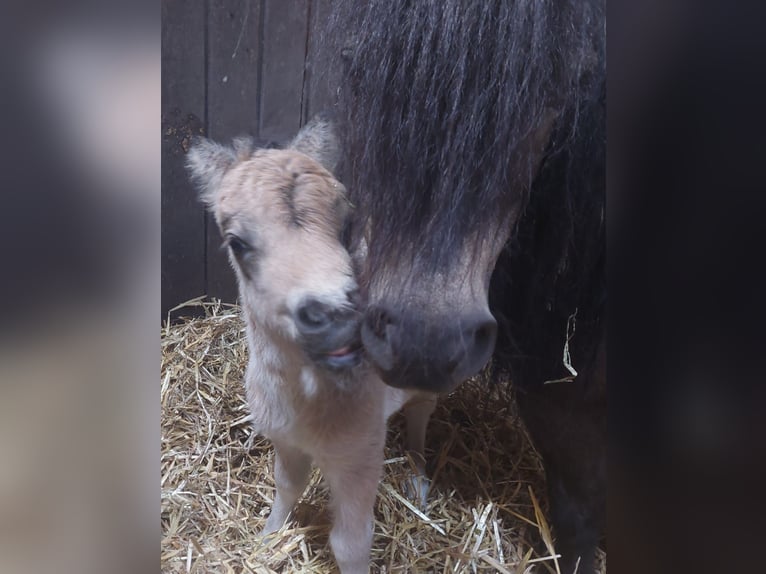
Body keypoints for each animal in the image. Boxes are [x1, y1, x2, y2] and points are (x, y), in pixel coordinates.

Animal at [188, 119, 438, 572]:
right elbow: (287, 486)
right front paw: (266, 539)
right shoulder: (283, 438)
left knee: (422, 410)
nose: (337, 312)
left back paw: (417, 477)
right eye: (237, 242)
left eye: (347, 224)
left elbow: (351, 542)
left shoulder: (360, 453)